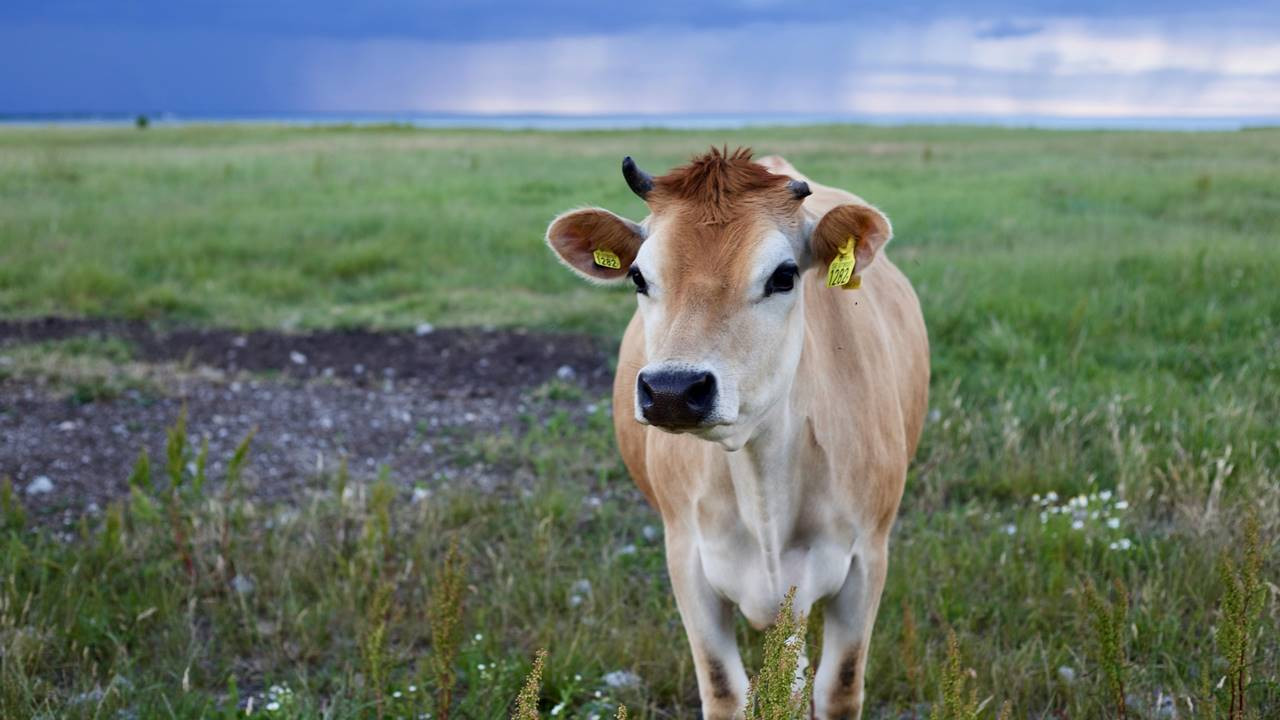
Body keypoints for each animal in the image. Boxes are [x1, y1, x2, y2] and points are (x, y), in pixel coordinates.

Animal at [542, 147, 931, 717]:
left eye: (784, 275)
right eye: (638, 276)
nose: (672, 390)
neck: (762, 476)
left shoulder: (867, 558)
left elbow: (838, 687)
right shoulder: (686, 558)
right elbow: (726, 689)